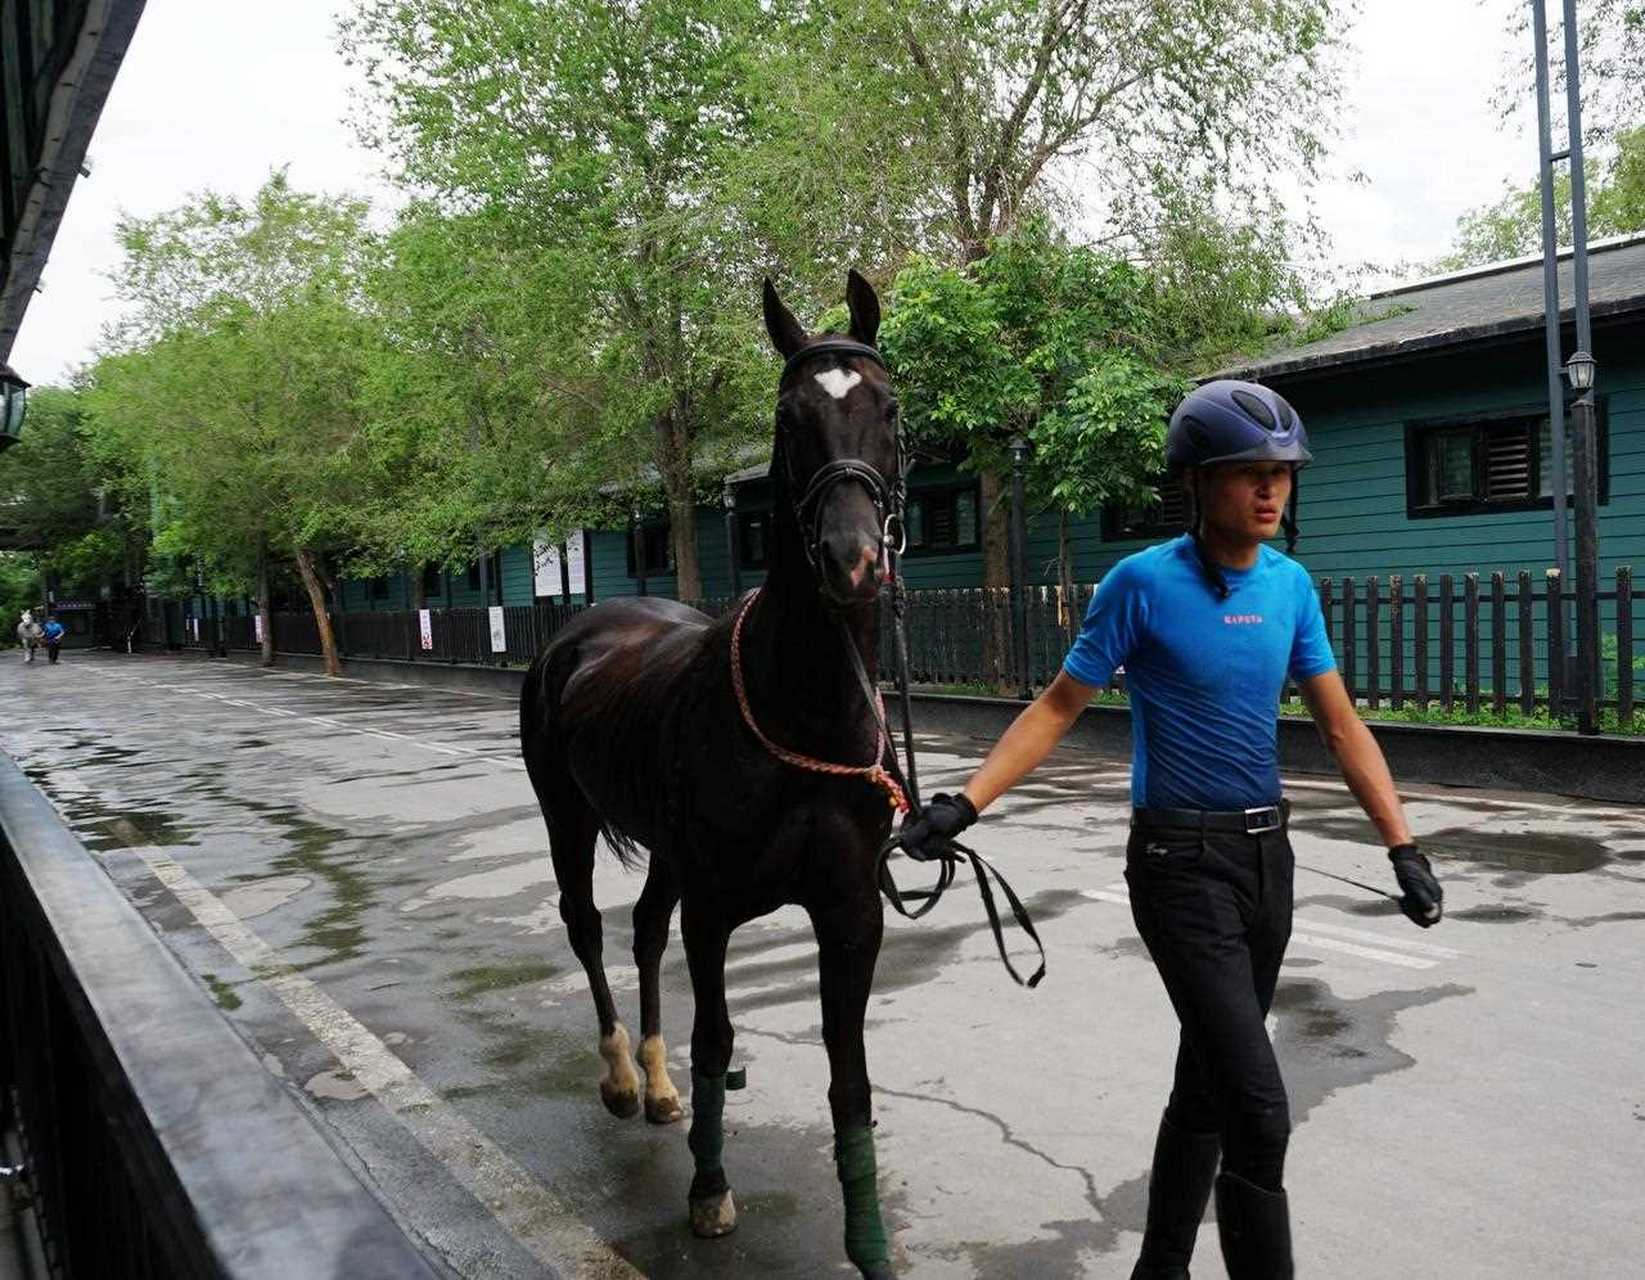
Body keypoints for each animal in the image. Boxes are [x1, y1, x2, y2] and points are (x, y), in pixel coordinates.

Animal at [523, 271, 901, 1276]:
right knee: (588, 928)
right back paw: (622, 1077)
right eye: (787, 415)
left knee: (643, 930)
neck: (801, 706)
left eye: (888, 408)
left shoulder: (850, 910)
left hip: (664, 853)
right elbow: (715, 1036)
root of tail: (584, 627)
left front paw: (868, 1240)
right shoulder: (716, 906)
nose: (850, 561)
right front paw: (708, 1191)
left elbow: (849, 1077)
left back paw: (655, 1088)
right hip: (567, 818)